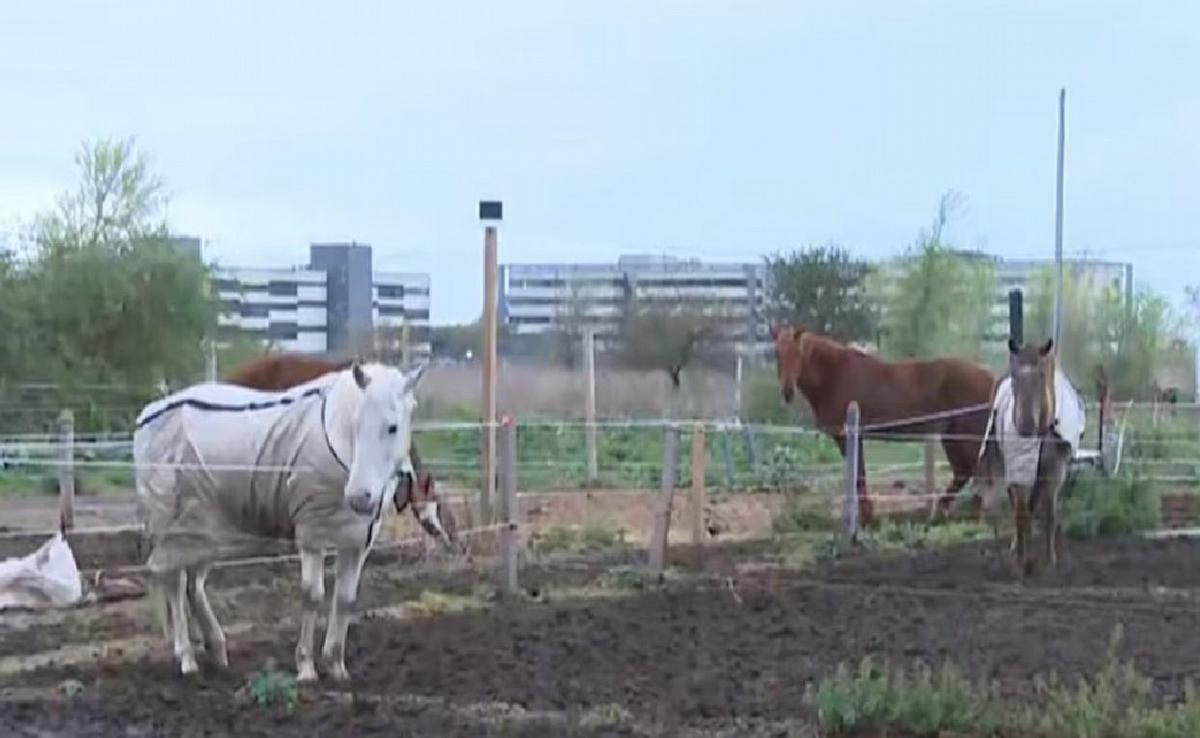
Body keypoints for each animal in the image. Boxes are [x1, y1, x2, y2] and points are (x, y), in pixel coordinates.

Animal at [134, 361, 448, 680]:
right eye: (355, 424)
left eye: (392, 427)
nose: (359, 497)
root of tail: (148, 415)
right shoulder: (312, 535)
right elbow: (313, 596)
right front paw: (306, 667)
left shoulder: (357, 540)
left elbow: (345, 599)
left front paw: (336, 666)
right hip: (175, 526)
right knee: (172, 580)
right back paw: (186, 658)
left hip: (203, 529)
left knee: (192, 585)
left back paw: (218, 651)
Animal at [770, 324, 998, 526]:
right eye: (777, 353)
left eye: (798, 353)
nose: (787, 391)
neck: (834, 375)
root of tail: (990, 376)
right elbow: (858, 475)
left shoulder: (849, 437)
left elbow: (859, 476)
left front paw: (867, 518)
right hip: (951, 436)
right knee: (963, 472)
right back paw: (941, 513)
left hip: (968, 435)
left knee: (978, 473)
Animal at [981, 338, 1084, 575]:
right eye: (1015, 377)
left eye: (1041, 375)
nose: (1025, 425)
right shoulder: (1020, 470)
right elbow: (1021, 511)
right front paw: (1022, 561)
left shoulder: (1054, 473)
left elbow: (1049, 514)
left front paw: (1050, 559)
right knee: (1018, 506)